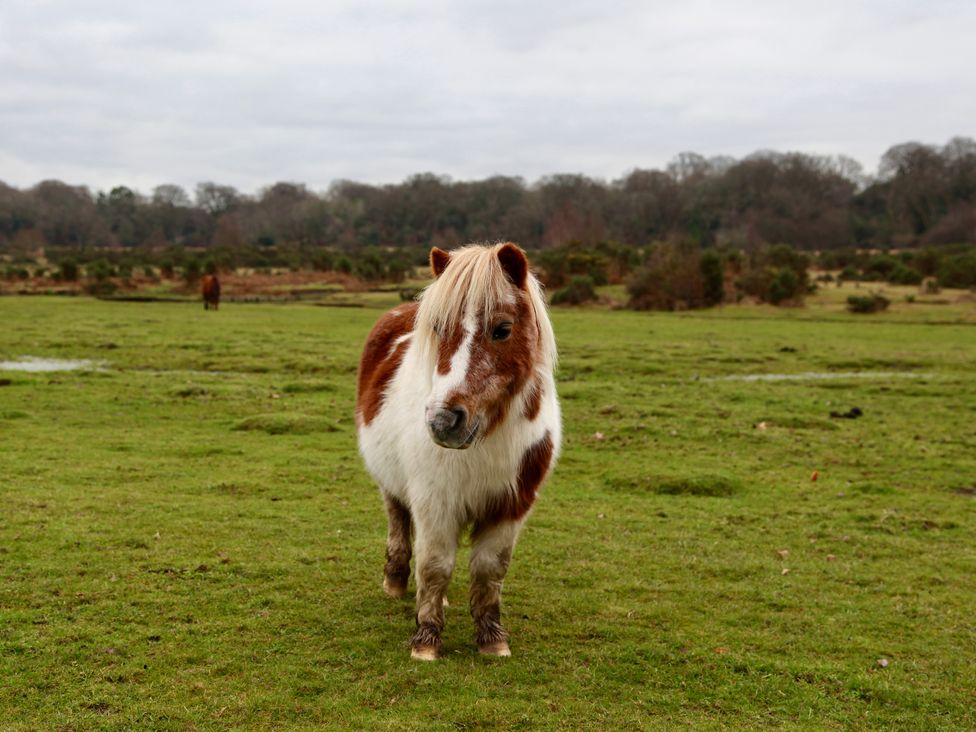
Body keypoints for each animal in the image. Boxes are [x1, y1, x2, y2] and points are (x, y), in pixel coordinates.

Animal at [354, 243, 560, 660]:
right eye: (438, 328)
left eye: (502, 329)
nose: (442, 420)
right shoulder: (435, 501)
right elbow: (435, 565)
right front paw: (426, 641)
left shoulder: (511, 506)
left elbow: (489, 570)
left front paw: (492, 639)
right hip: (392, 487)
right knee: (399, 524)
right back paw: (396, 582)